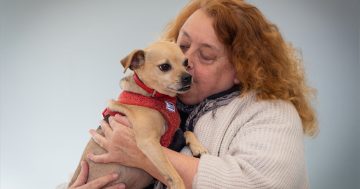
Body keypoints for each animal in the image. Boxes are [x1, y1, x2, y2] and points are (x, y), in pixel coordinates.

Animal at [69, 41, 208, 189]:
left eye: (186, 63)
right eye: (164, 67)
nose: (188, 77)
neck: (157, 98)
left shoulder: (171, 136)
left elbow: (187, 131)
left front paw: (199, 147)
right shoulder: (149, 142)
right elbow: (172, 171)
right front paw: (179, 184)